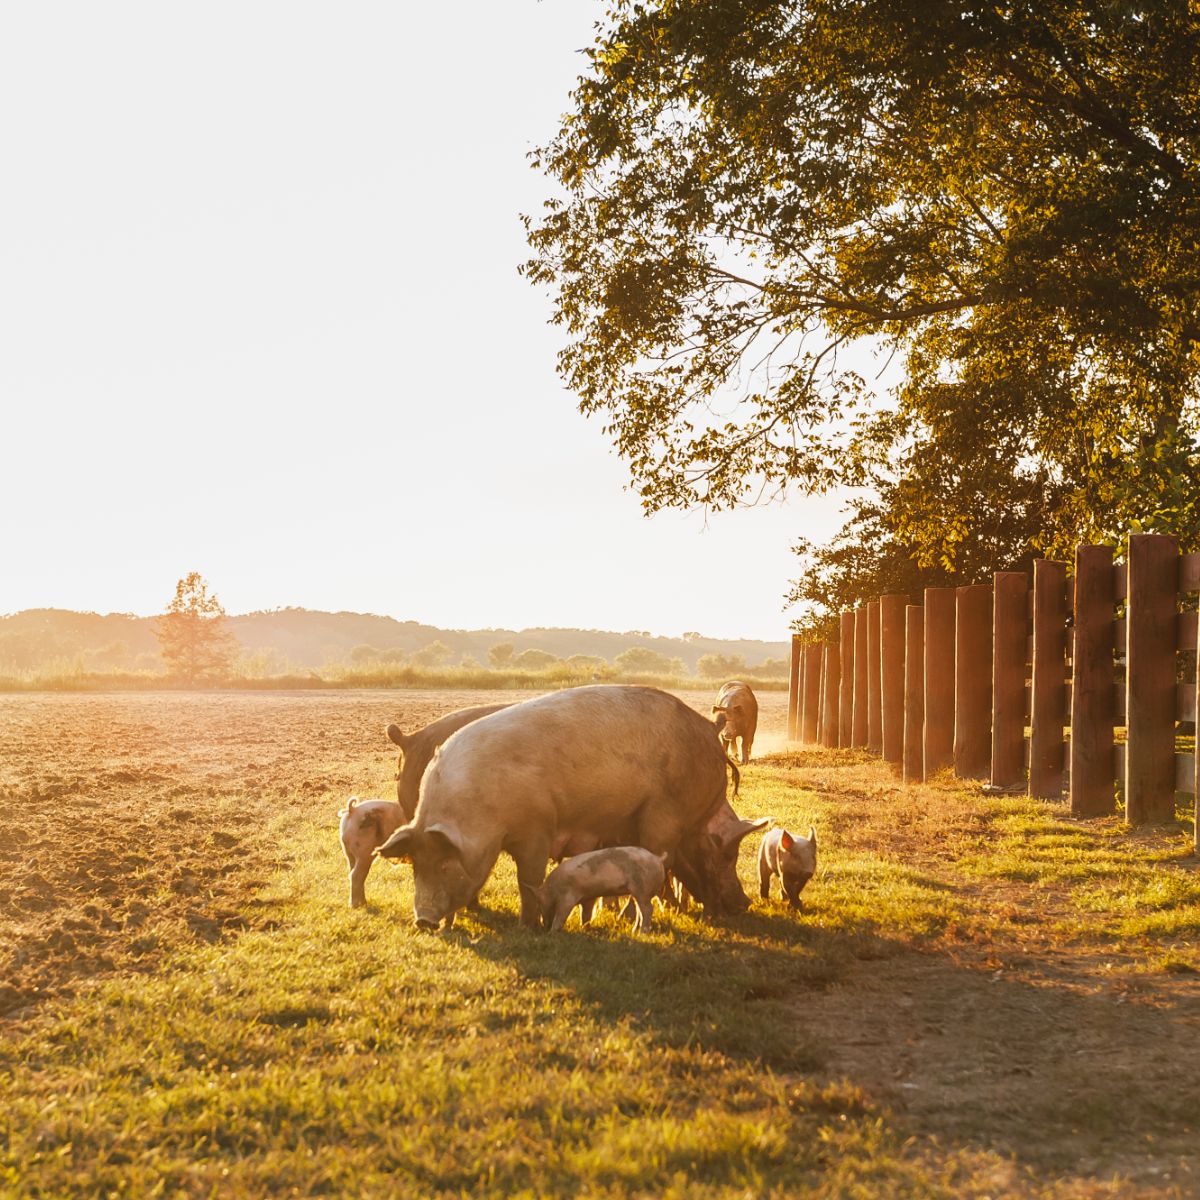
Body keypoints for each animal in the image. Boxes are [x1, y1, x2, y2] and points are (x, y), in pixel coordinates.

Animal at [520, 847, 668, 933]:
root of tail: (658, 859)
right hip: (641, 891)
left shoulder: (568, 896)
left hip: (642, 888)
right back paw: (634, 932)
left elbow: (562, 913)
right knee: (640, 910)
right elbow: (586, 914)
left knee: (648, 909)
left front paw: (553, 932)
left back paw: (642, 933)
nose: (545, 926)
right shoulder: (589, 897)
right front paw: (585, 929)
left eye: (539, 905)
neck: (553, 890)